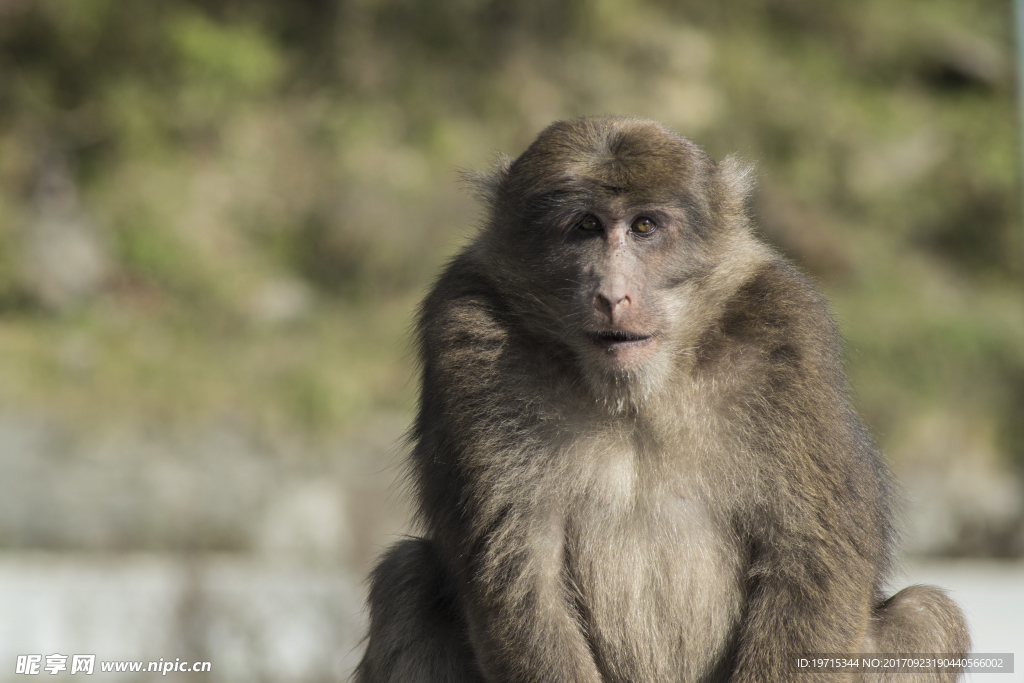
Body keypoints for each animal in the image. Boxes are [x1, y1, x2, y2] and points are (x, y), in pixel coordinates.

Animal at [356, 114, 970, 679]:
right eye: (585, 226)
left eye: (645, 226)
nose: (612, 295)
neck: (638, 394)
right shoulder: (465, 336)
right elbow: (517, 570)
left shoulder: (789, 336)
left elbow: (810, 557)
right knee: (405, 579)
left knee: (925, 615)